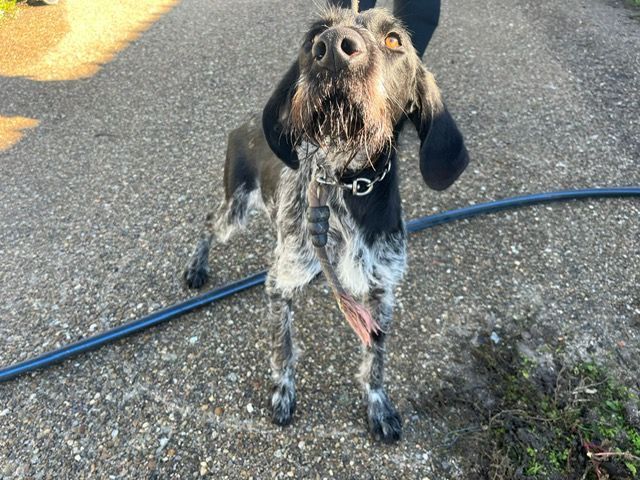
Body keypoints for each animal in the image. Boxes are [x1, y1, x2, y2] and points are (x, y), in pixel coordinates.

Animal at [183, 6, 469, 442]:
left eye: (394, 40)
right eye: (315, 36)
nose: (332, 49)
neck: (349, 184)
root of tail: (244, 125)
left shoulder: (382, 293)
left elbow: (376, 360)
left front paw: (378, 405)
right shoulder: (280, 283)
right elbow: (283, 348)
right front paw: (283, 393)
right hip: (237, 208)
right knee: (209, 223)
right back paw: (196, 267)